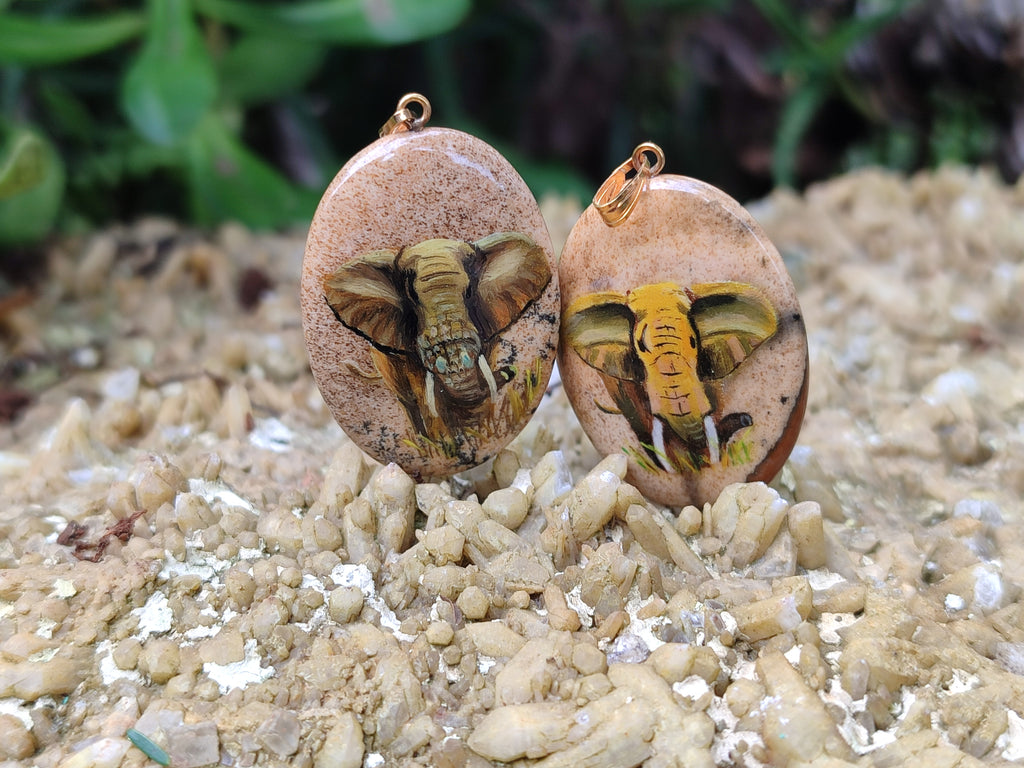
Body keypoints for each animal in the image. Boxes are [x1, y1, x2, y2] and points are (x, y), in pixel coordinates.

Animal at [323, 232, 551, 448]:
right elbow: (427, 398)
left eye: (469, 291)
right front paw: (447, 443)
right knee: (408, 401)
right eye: (412, 295)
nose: (511, 369)